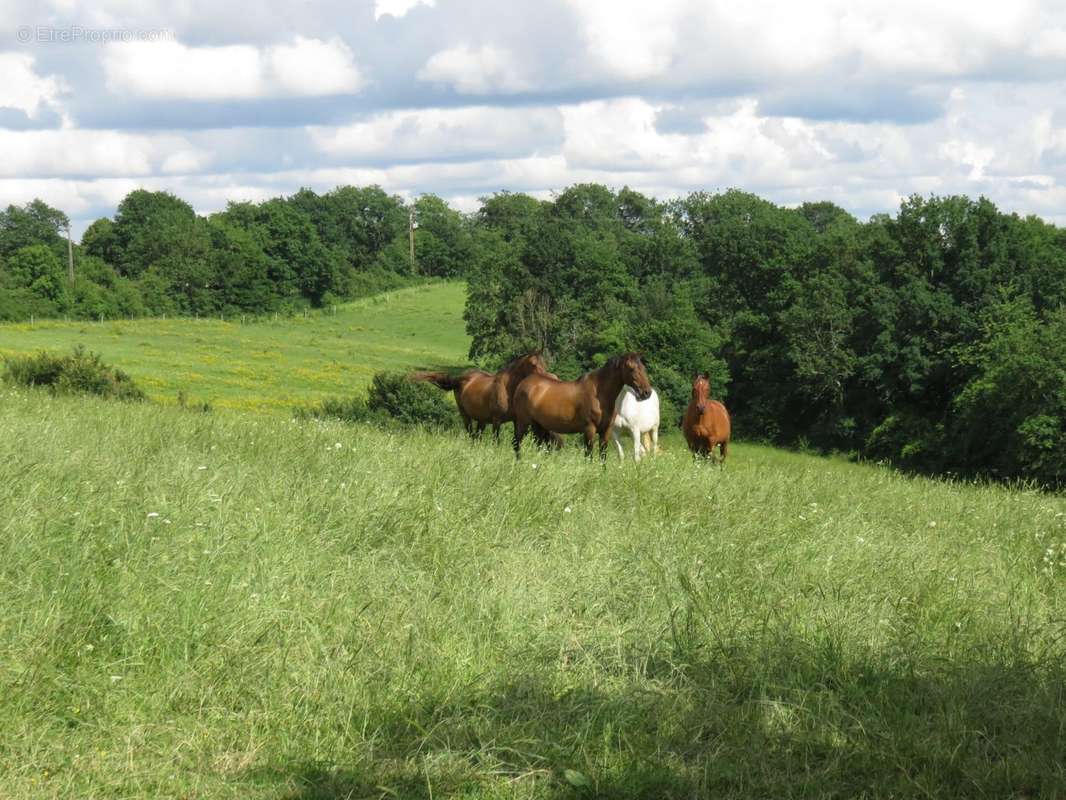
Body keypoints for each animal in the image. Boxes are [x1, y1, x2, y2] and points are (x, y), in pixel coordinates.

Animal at [411, 354, 550, 445]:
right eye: (533, 364)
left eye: (545, 363)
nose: (545, 377)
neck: (507, 389)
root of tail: (461, 378)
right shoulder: (496, 421)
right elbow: (496, 440)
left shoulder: (516, 421)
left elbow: (515, 440)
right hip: (465, 415)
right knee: (471, 433)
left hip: (481, 420)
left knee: (477, 436)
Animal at [513, 352, 652, 460]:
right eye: (631, 369)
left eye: (643, 368)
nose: (647, 392)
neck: (599, 394)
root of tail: (523, 384)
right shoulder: (589, 429)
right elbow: (589, 455)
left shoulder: (605, 431)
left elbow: (603, 456)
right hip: (522, 423)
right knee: (517, 444)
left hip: (539, 426)